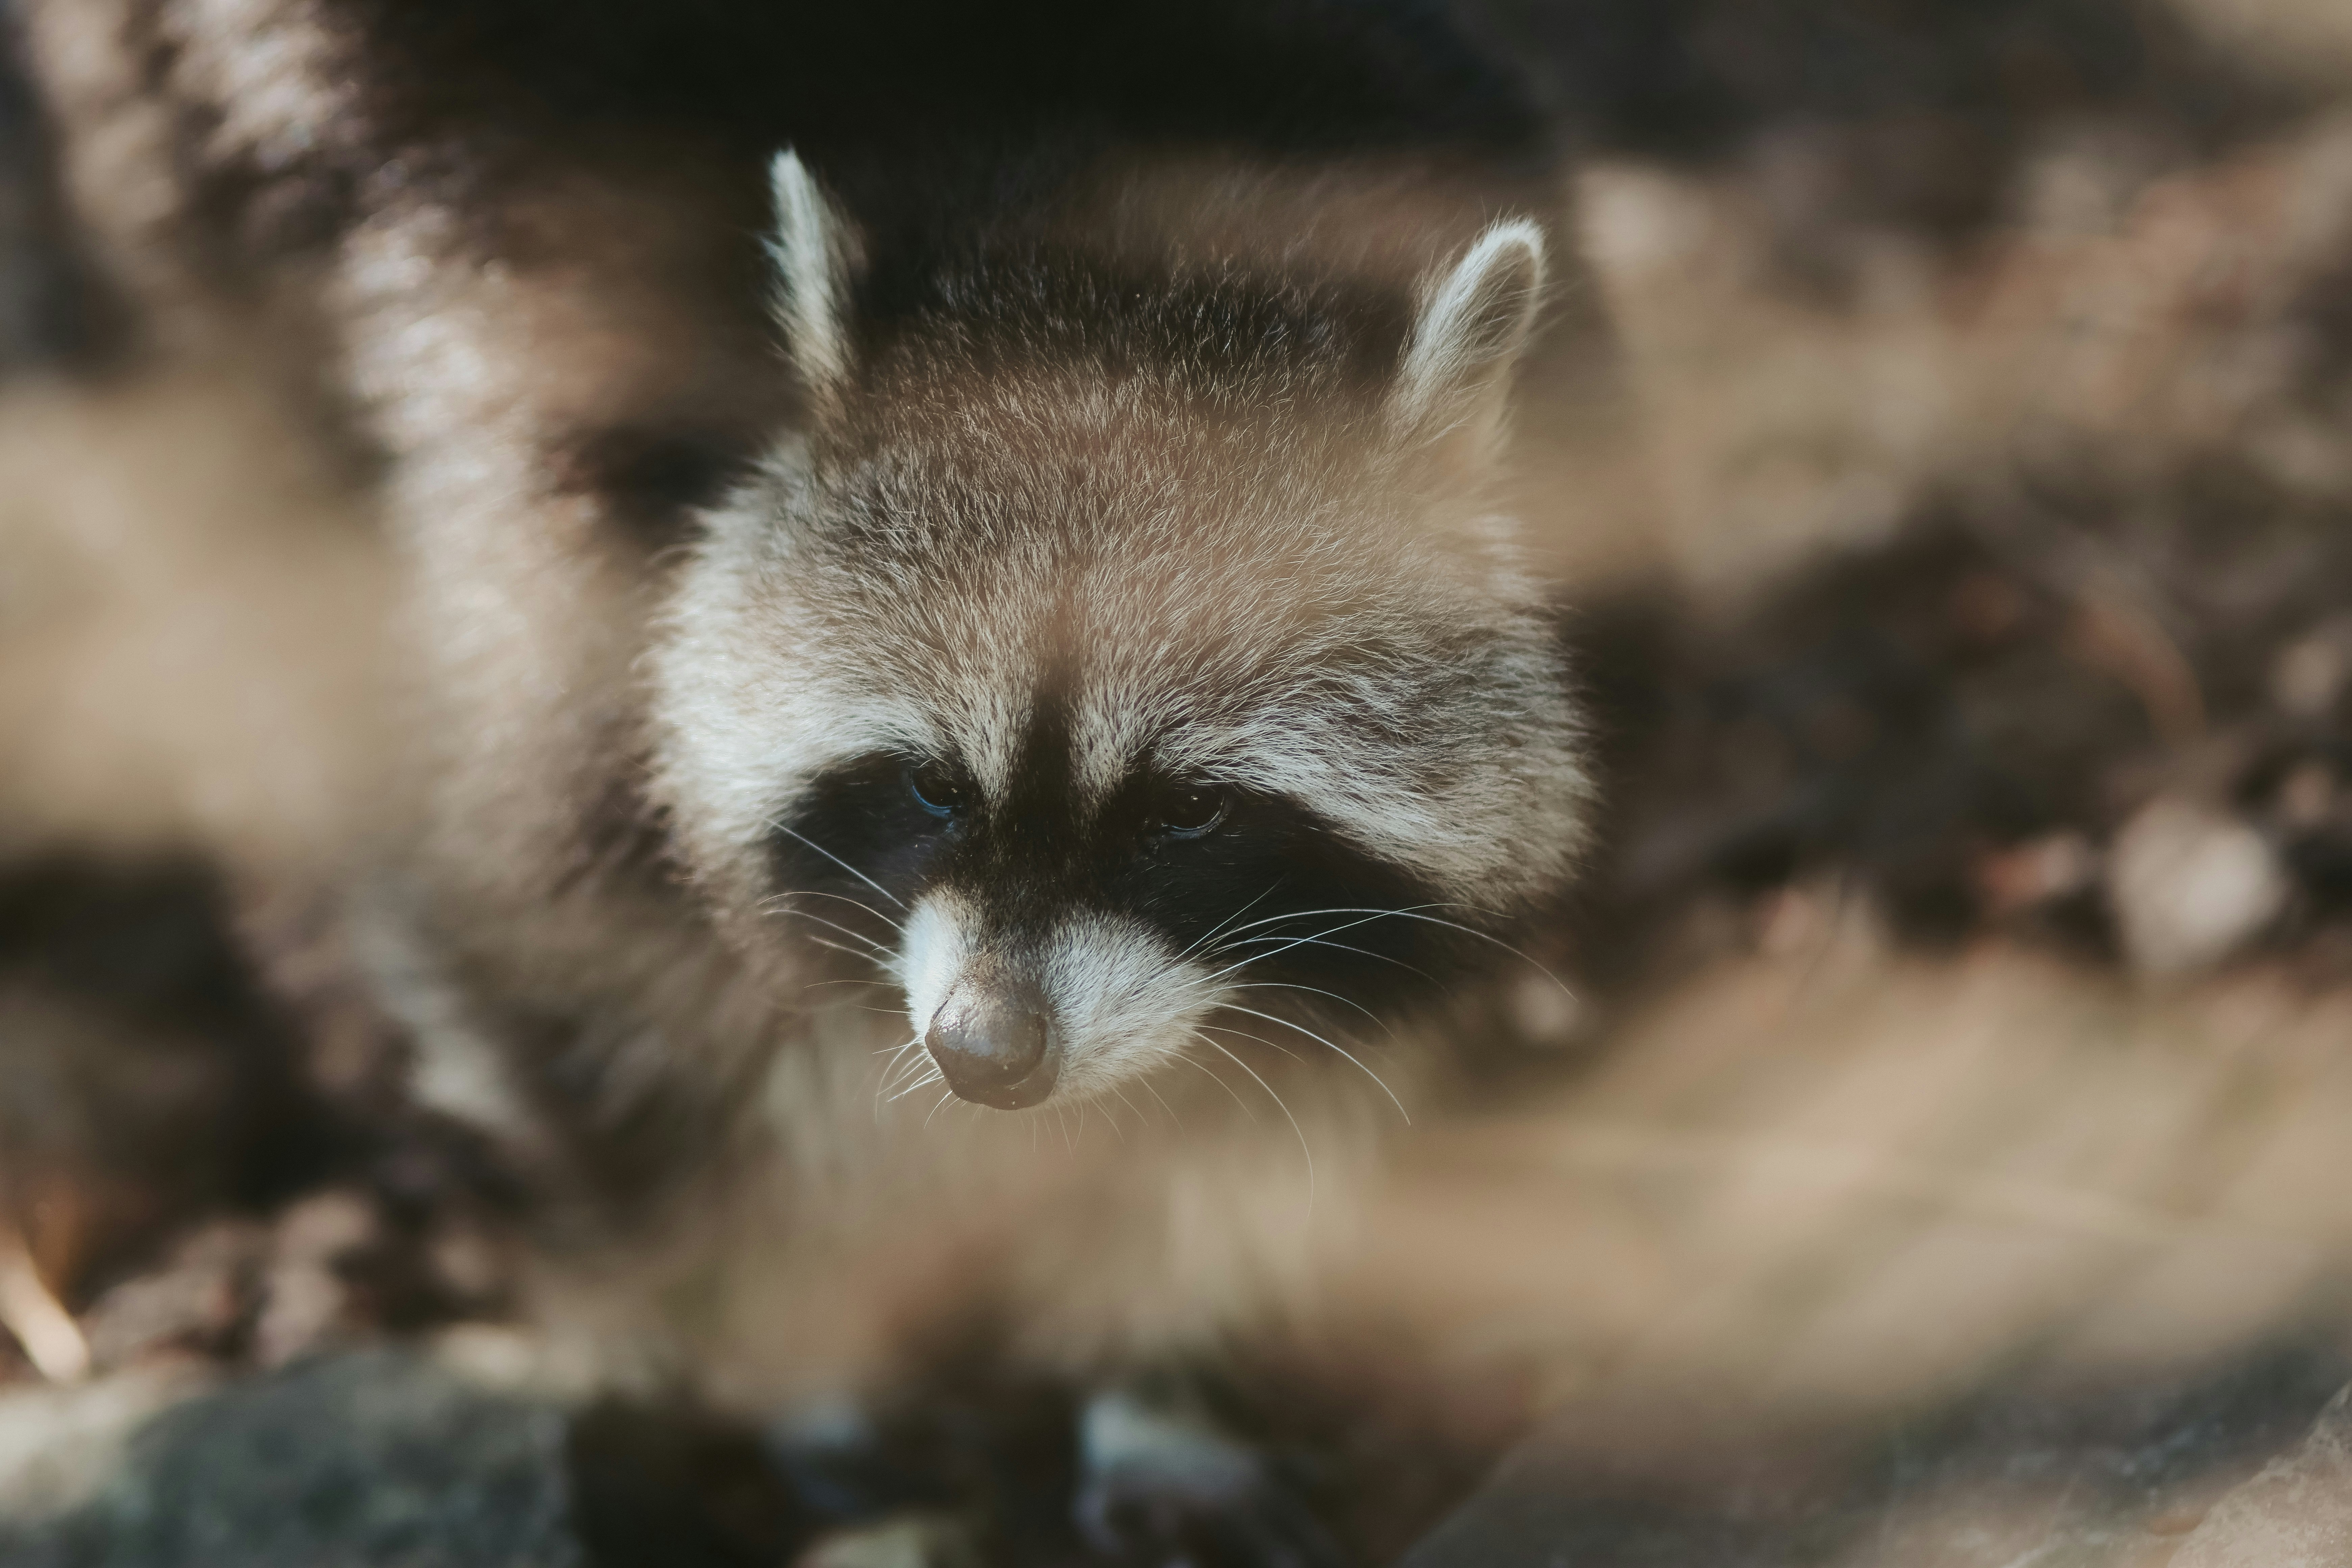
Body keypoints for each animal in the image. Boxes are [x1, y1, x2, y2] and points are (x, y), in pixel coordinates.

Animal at [18, 0, 1617, 1525]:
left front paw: (1165, 1366)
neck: (1114, 250)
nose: (985, 1051)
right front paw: (804, 1339)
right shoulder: (546, 555)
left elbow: (1306, 1071)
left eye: (1191, 811)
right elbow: (575, 991)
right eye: (929, 784)